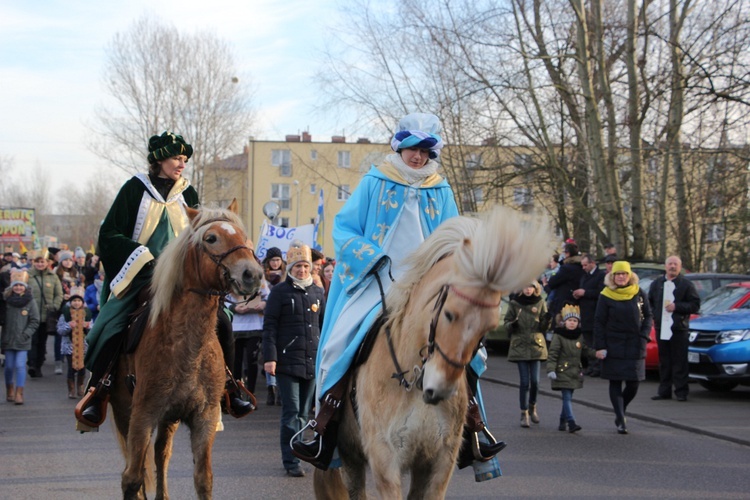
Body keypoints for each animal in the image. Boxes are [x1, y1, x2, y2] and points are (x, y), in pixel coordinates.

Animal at [108, 201, 264, 498]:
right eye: (211, 238)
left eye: (244, 236)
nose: (253, 274)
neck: (188, 350)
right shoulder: (142, 414)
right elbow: (131, 478)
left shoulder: (204, 416)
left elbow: (203, 479)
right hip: (125, 410)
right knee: (136, 467)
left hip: (169, 418)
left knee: (161, 454)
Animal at [312, 207, 552, 500]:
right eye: (449, 314)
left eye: (488, 327)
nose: (439, 389)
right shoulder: (385, 462)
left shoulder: (438, 463)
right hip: (350, 456)